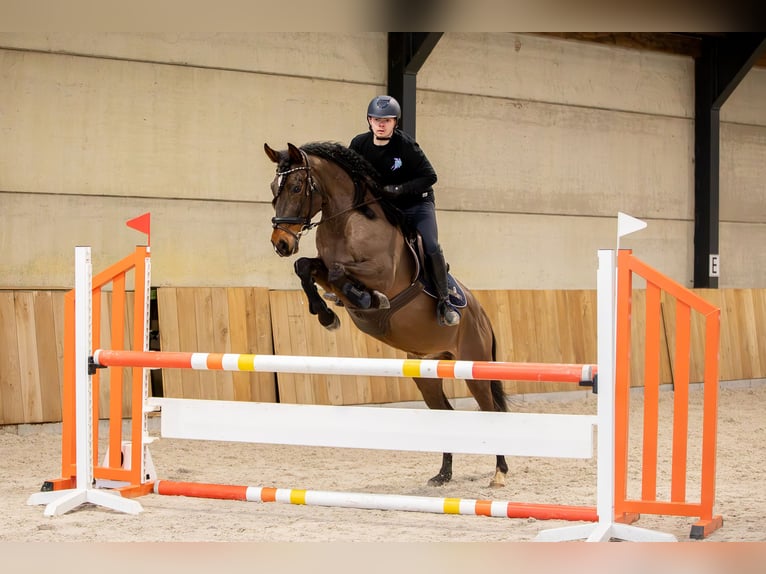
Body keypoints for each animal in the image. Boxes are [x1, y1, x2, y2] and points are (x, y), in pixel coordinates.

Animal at [264, 141, 509, 488]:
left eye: (297, 187)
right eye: (274, 189)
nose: (281, 243)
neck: (344, 222)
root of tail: (484, 316)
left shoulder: (383, 273)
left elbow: (341, 273)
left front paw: (368, 299)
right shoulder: (323, 267)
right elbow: (308, 268)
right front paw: (326, 314)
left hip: (474, 365)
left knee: (491, 410)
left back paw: (499, 473)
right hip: (427, 372)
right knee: (446, 413)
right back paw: (443, 474)